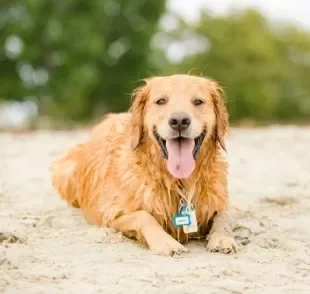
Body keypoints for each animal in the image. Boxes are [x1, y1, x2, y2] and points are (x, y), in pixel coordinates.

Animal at [51, 74, 237, 255]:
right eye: (161, 101)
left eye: (198, 101)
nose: (179, 121)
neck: (178, 182)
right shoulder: (111, 214)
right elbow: (143, 216)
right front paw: (166, 242)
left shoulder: (219, 201)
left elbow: (223, 216)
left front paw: (223, 238)